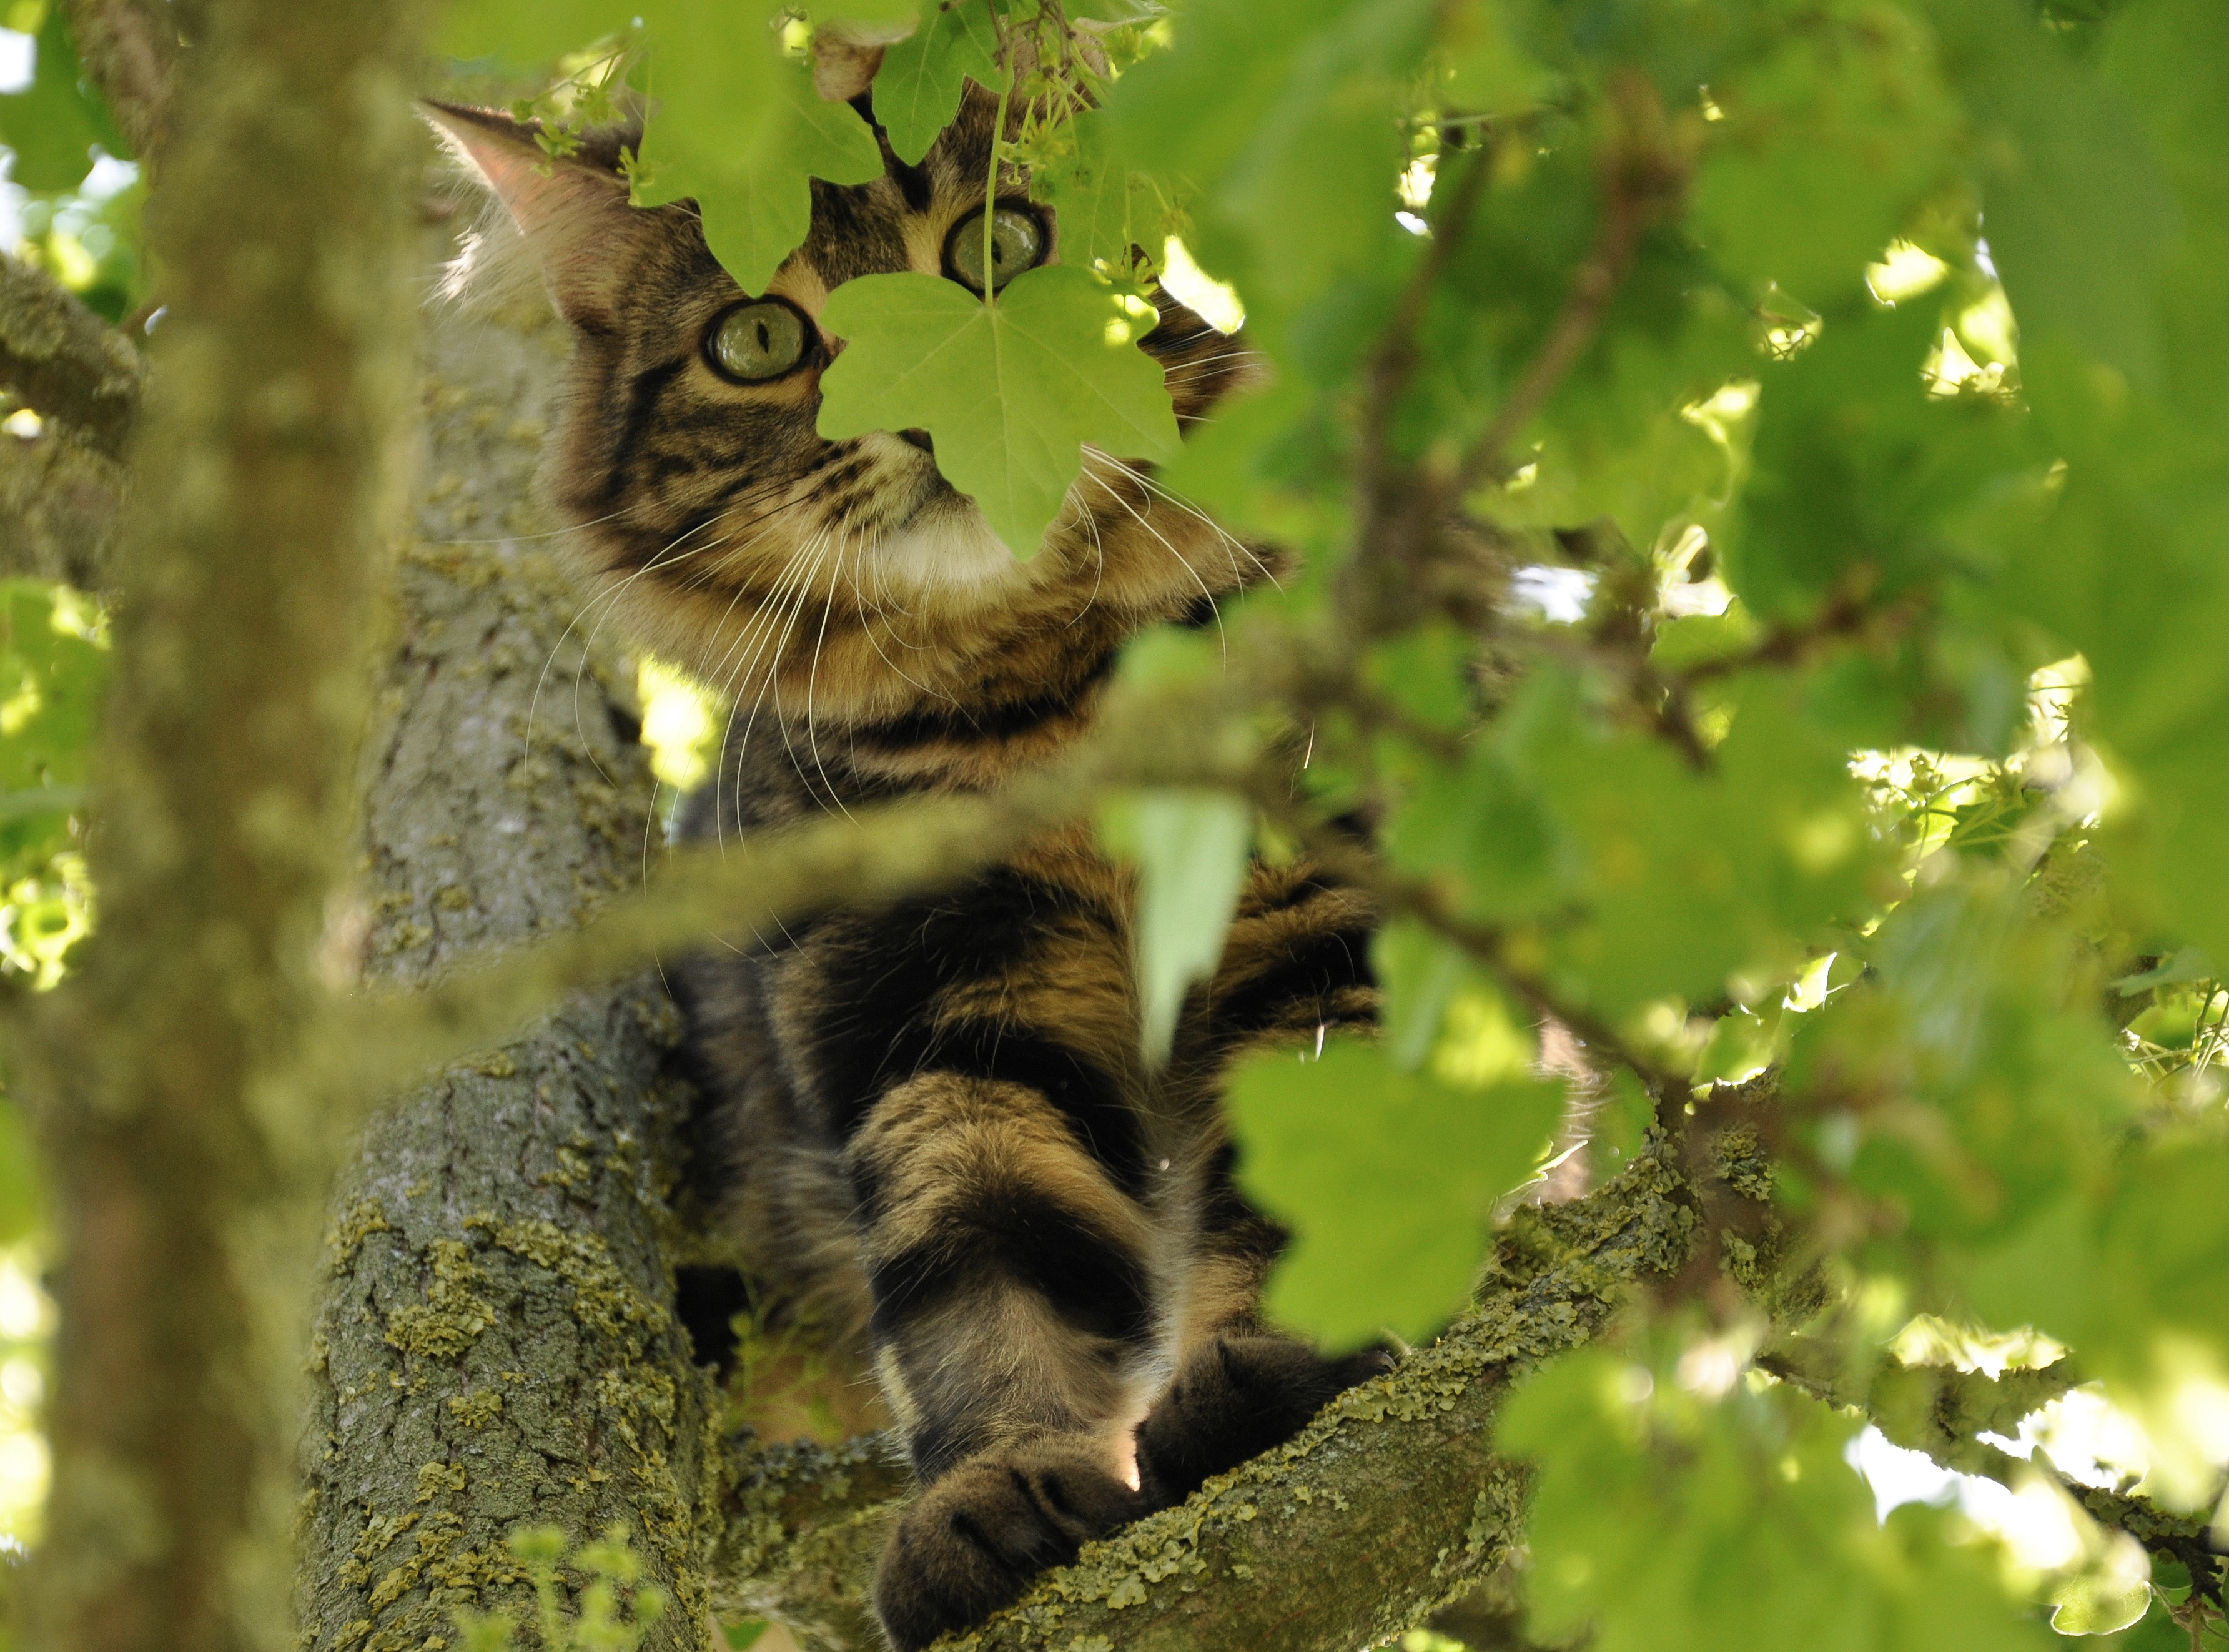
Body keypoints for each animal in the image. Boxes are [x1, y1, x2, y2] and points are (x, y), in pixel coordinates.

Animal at [437, 57, 1391, 1641]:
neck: (1038, 712)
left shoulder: (1313, 907)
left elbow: (1314, 1168)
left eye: (997, 246)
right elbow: (982, 1264)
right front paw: (990, 1492)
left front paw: (1275, 1363)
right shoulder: (932, 1010)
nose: (937, 408)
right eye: (756, 337)